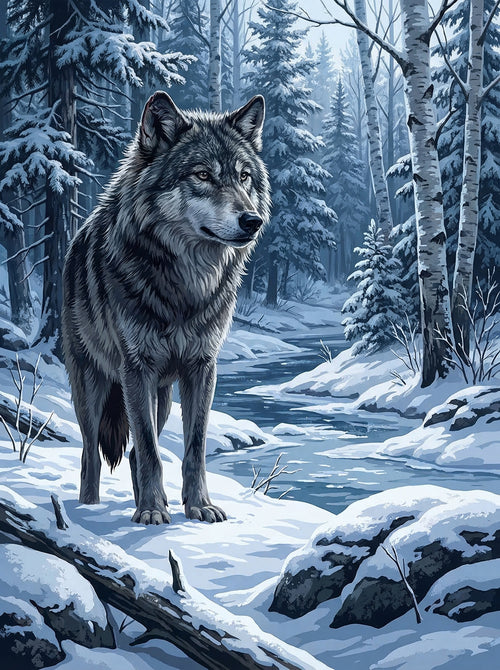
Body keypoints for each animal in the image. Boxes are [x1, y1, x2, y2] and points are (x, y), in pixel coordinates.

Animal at [62, 92, 270, 525]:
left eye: (244, 177)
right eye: (203, 175)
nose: (253, 221)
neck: (186, 287)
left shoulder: (202, 367)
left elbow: (193, 447)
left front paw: (198, 506)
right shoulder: (135, 368)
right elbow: (149, 450)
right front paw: (152, 512)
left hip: (161, 396)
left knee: (135, 453)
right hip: (92, 388)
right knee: (92, 456)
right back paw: (89, 509)